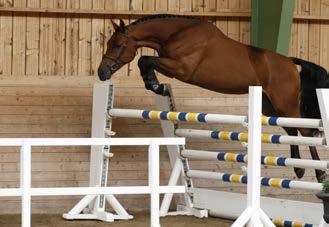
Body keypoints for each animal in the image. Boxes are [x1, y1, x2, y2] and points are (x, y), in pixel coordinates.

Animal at [97, 14, 328, 183]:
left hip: (285, 103)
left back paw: (319, 173)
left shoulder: (181, 68)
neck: (177, 33)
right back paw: (298, 169)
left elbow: (145, 60)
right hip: (270, 107)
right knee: (292, 130)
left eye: (117, 45)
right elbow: (144, 61)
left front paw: (155, 84)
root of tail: (290, 62)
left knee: (305, 132)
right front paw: (156, 86)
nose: (102, 73)